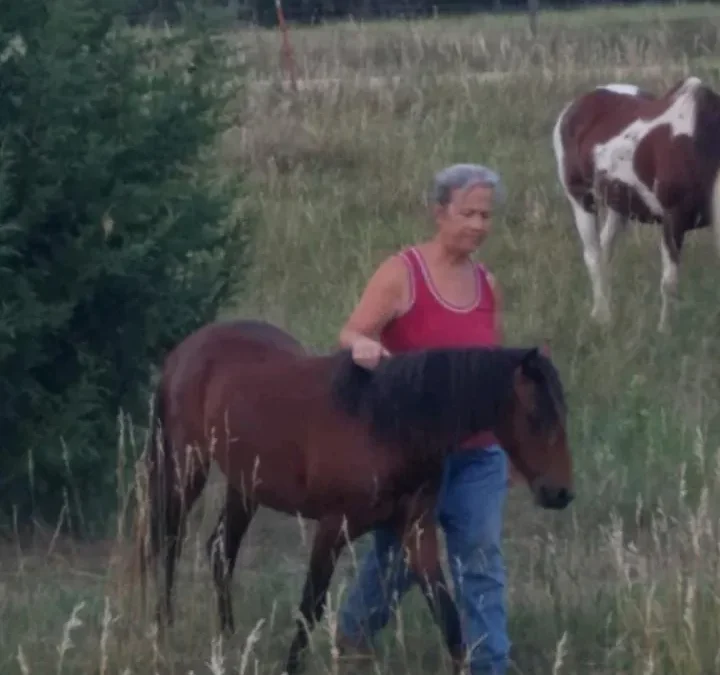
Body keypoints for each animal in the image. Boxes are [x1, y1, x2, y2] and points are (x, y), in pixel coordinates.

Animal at [135, 318, 574, 674]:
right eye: (536, 416)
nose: (561, 493)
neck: (386, 425)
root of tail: (185, 349)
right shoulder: (333, 527)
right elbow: (310, 607)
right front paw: (291, 667)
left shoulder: (416, 533)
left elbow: (448, 616)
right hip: (185, 467)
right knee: (168, 543)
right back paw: (163, 629)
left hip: (244, 485)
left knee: (220, 550)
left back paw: (227, 639)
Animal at [552, 76, 720, 332]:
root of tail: (574, 106)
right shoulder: (673, 221)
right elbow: (669, 283)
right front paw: (664, 330)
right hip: (580, 198)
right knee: (593, 255)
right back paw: (603, 315)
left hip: (618, 206)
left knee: (605, 250)